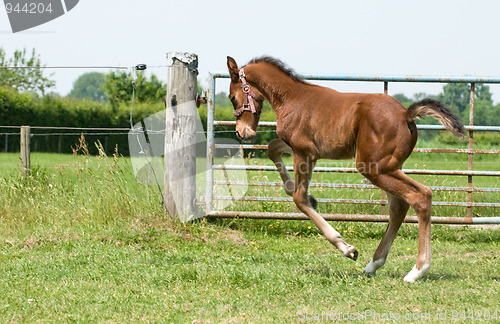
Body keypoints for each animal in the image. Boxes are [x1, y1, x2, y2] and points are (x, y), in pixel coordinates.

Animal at [227, 55, 464, 280]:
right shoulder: (302, 148)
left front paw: (347, 248)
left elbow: (299, 198)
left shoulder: (304, 152)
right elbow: (271, 148)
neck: (291, 98)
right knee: (399, 207)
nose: (241, 132)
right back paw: (373, 265)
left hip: (373, 167)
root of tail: (406, 114)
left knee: (420, 196)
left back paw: (417, 270)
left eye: (232, 97)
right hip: (390, 166)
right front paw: (300, 191)